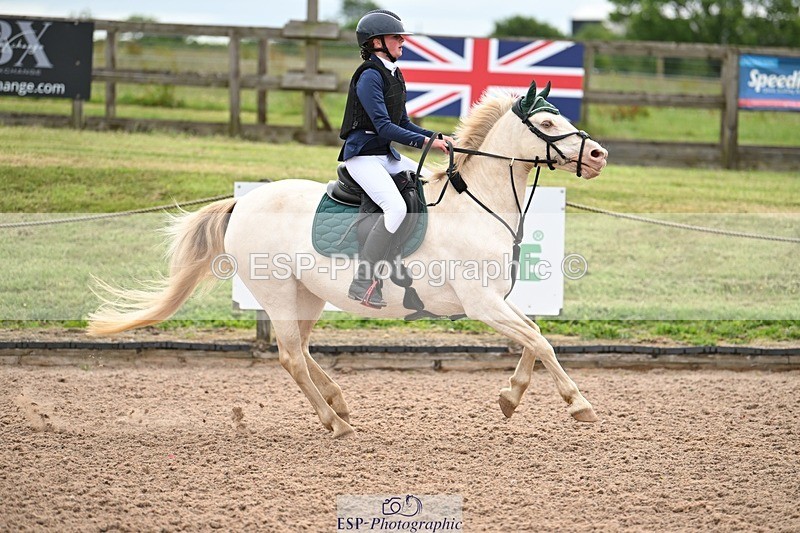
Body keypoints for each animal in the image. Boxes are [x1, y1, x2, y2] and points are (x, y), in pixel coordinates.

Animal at [88, 80, 609, 438]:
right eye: (547, 125)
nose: (599, 156)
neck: (476, 206)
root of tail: (244, 201)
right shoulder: (481, 304)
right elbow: (541, 343)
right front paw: (578, 404)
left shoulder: (497, 300)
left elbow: (534, 337)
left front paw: (509, 397)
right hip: (277, 293)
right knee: (291, 356)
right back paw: (334, 423)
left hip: (309, 295)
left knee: (303, 349)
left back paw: (338, 402)